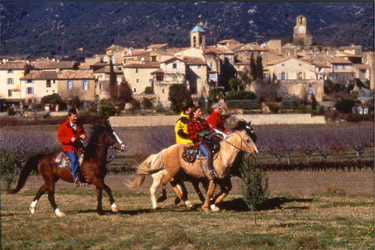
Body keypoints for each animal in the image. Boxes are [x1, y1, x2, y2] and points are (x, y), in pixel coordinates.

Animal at [129, 127, 258, 213]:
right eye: (247, 140)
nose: (255, 151)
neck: (223, 156)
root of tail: (165, 151)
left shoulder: (223, 179)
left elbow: (225, 191)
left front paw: (214, 204)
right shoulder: (213, 179)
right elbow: (210, 192)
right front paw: (207, 206)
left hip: (176, 173)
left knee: (173, 183)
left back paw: (184, 201)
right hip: (170, 172)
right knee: (163, 183)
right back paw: (162, 199)